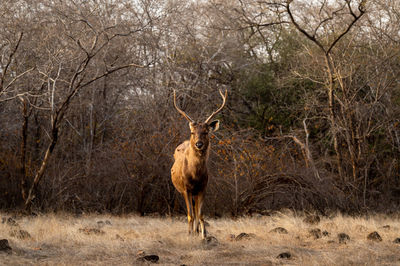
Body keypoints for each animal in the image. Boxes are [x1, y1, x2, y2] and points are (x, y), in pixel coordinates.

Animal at [171, 89, 228, 239]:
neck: (195, 175)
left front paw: (204, 235)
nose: (199, 144)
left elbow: (201, 214)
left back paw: (198, 231)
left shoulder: (203, 187)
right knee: (192, 212)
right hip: (184, 191)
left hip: (196, 193)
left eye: (206, 132)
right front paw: (189, 234)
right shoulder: (186, 189)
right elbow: (190, 215)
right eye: (192, 132)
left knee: (197, 211)